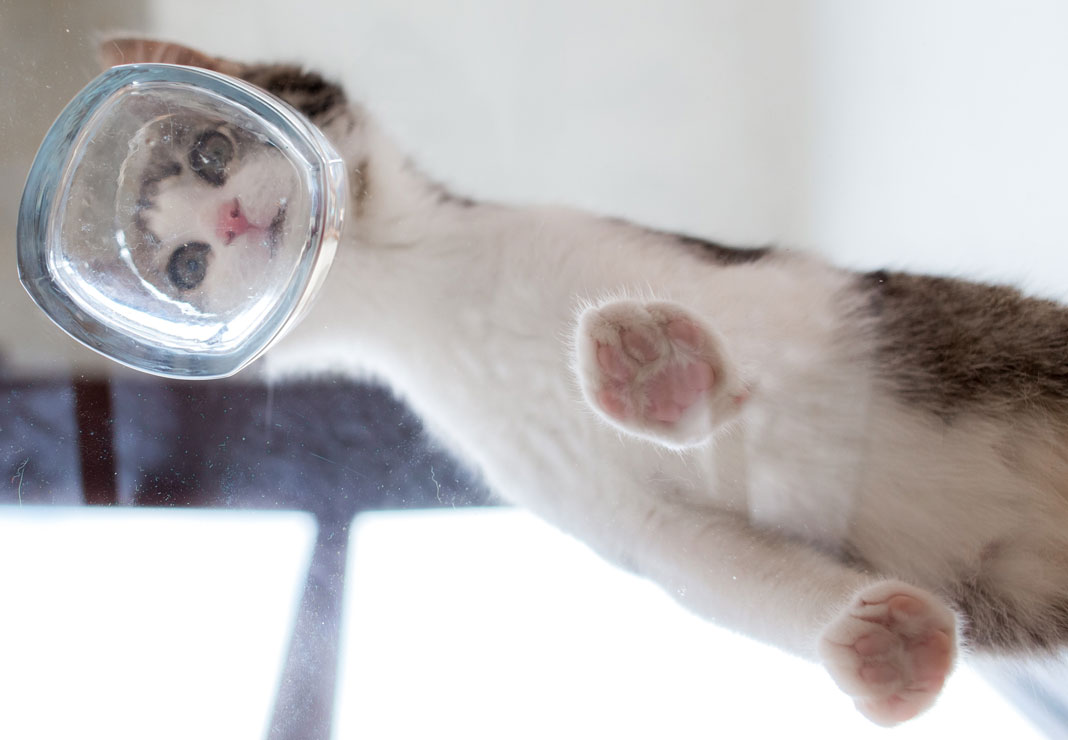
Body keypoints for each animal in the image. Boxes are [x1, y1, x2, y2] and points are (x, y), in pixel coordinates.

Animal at [96, 37, 1068, 726]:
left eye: (213, 151)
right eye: (185, 267)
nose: (227, 219)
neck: (430, 294)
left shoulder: (798, 301)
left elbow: (782, 367)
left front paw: (663, 372)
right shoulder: (628, 522)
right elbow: (714, 566)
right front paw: (878, 642)